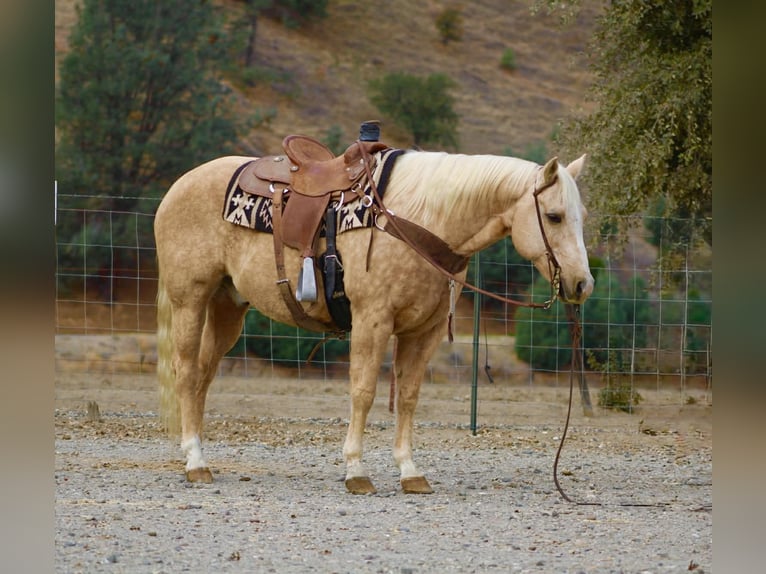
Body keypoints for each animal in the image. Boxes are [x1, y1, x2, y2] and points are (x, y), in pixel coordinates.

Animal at [154, 145, 594, 495]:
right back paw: (195, 462)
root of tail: (178, 187)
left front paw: (410, 472)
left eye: (582, 216)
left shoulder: (424, 332)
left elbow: (409, 397)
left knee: (204, 375)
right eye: (554, 216)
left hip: (228, 306)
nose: (582, 284)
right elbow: (363, 392)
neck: (420, 219)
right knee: (187, 372)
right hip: (190, 299)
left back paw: (200, 455)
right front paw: (356, 470)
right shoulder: (373, 321)